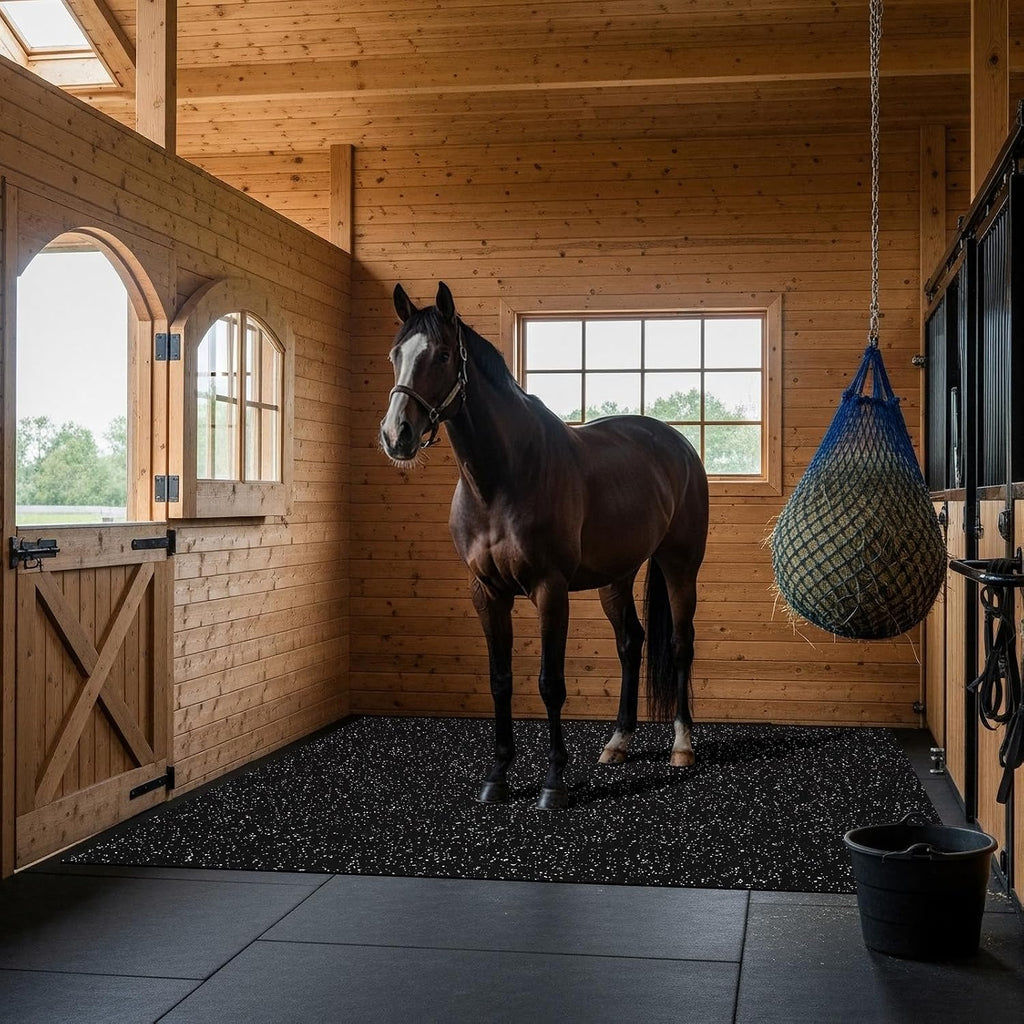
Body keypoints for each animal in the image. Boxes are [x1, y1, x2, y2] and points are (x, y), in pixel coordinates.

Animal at [379, 282, 709, 810]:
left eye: (443, 354)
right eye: (396, 354)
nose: (396, 435)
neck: (502, 478)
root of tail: (677, 445)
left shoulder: (549, 590)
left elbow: (550, 684)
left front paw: (554, 783)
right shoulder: (487, 592)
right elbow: (500, 681)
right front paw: (497, 776)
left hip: (679, 566)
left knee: (680, 645)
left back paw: (682, 745)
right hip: (616, 576)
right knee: (630, 644)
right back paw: (618, 742)